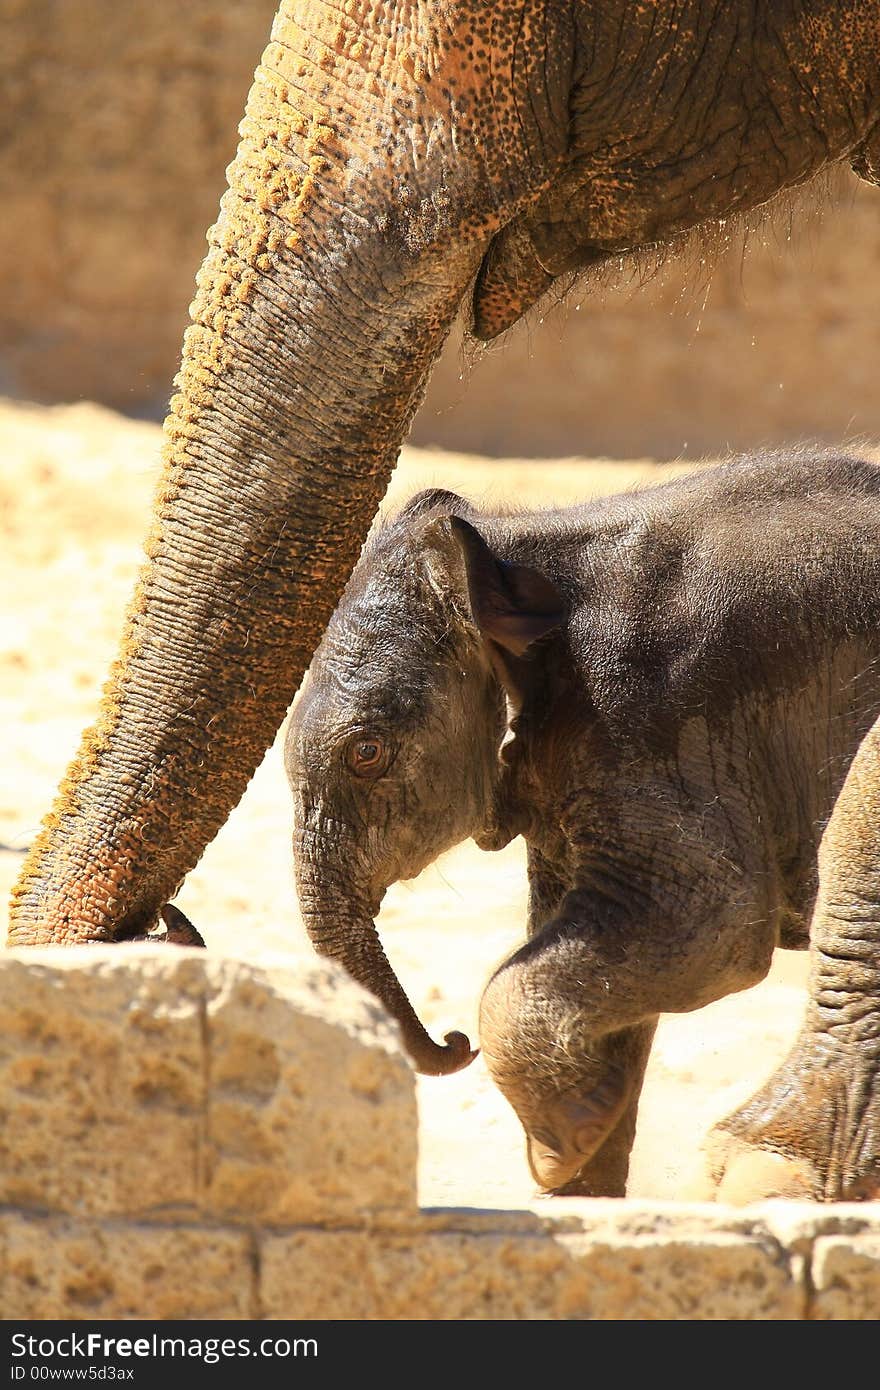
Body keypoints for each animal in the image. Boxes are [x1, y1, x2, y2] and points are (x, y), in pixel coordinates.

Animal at [284, 450, 878, 1200]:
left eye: (366, 753)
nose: (452, 1043)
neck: (520, 552)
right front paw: (584, 1155)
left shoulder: (653, 714)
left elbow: (709, 925)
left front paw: (560, 1146)